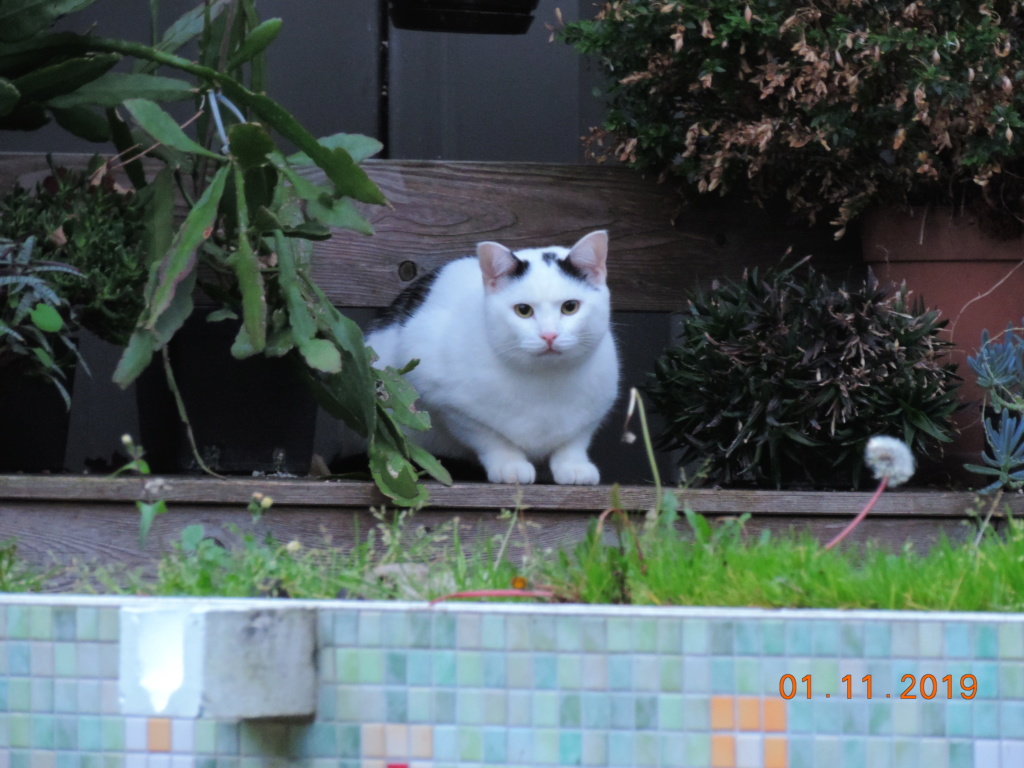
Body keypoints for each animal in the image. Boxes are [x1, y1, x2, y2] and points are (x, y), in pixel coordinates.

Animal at [370, 230, 618, 487]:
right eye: (523, 310)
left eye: (570, 307)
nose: (549, 335)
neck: (545, 381)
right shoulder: (448, 402)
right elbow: (490, 437)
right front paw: (510, 465)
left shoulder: (596, 408)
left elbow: (574, 441)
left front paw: (574, 466)